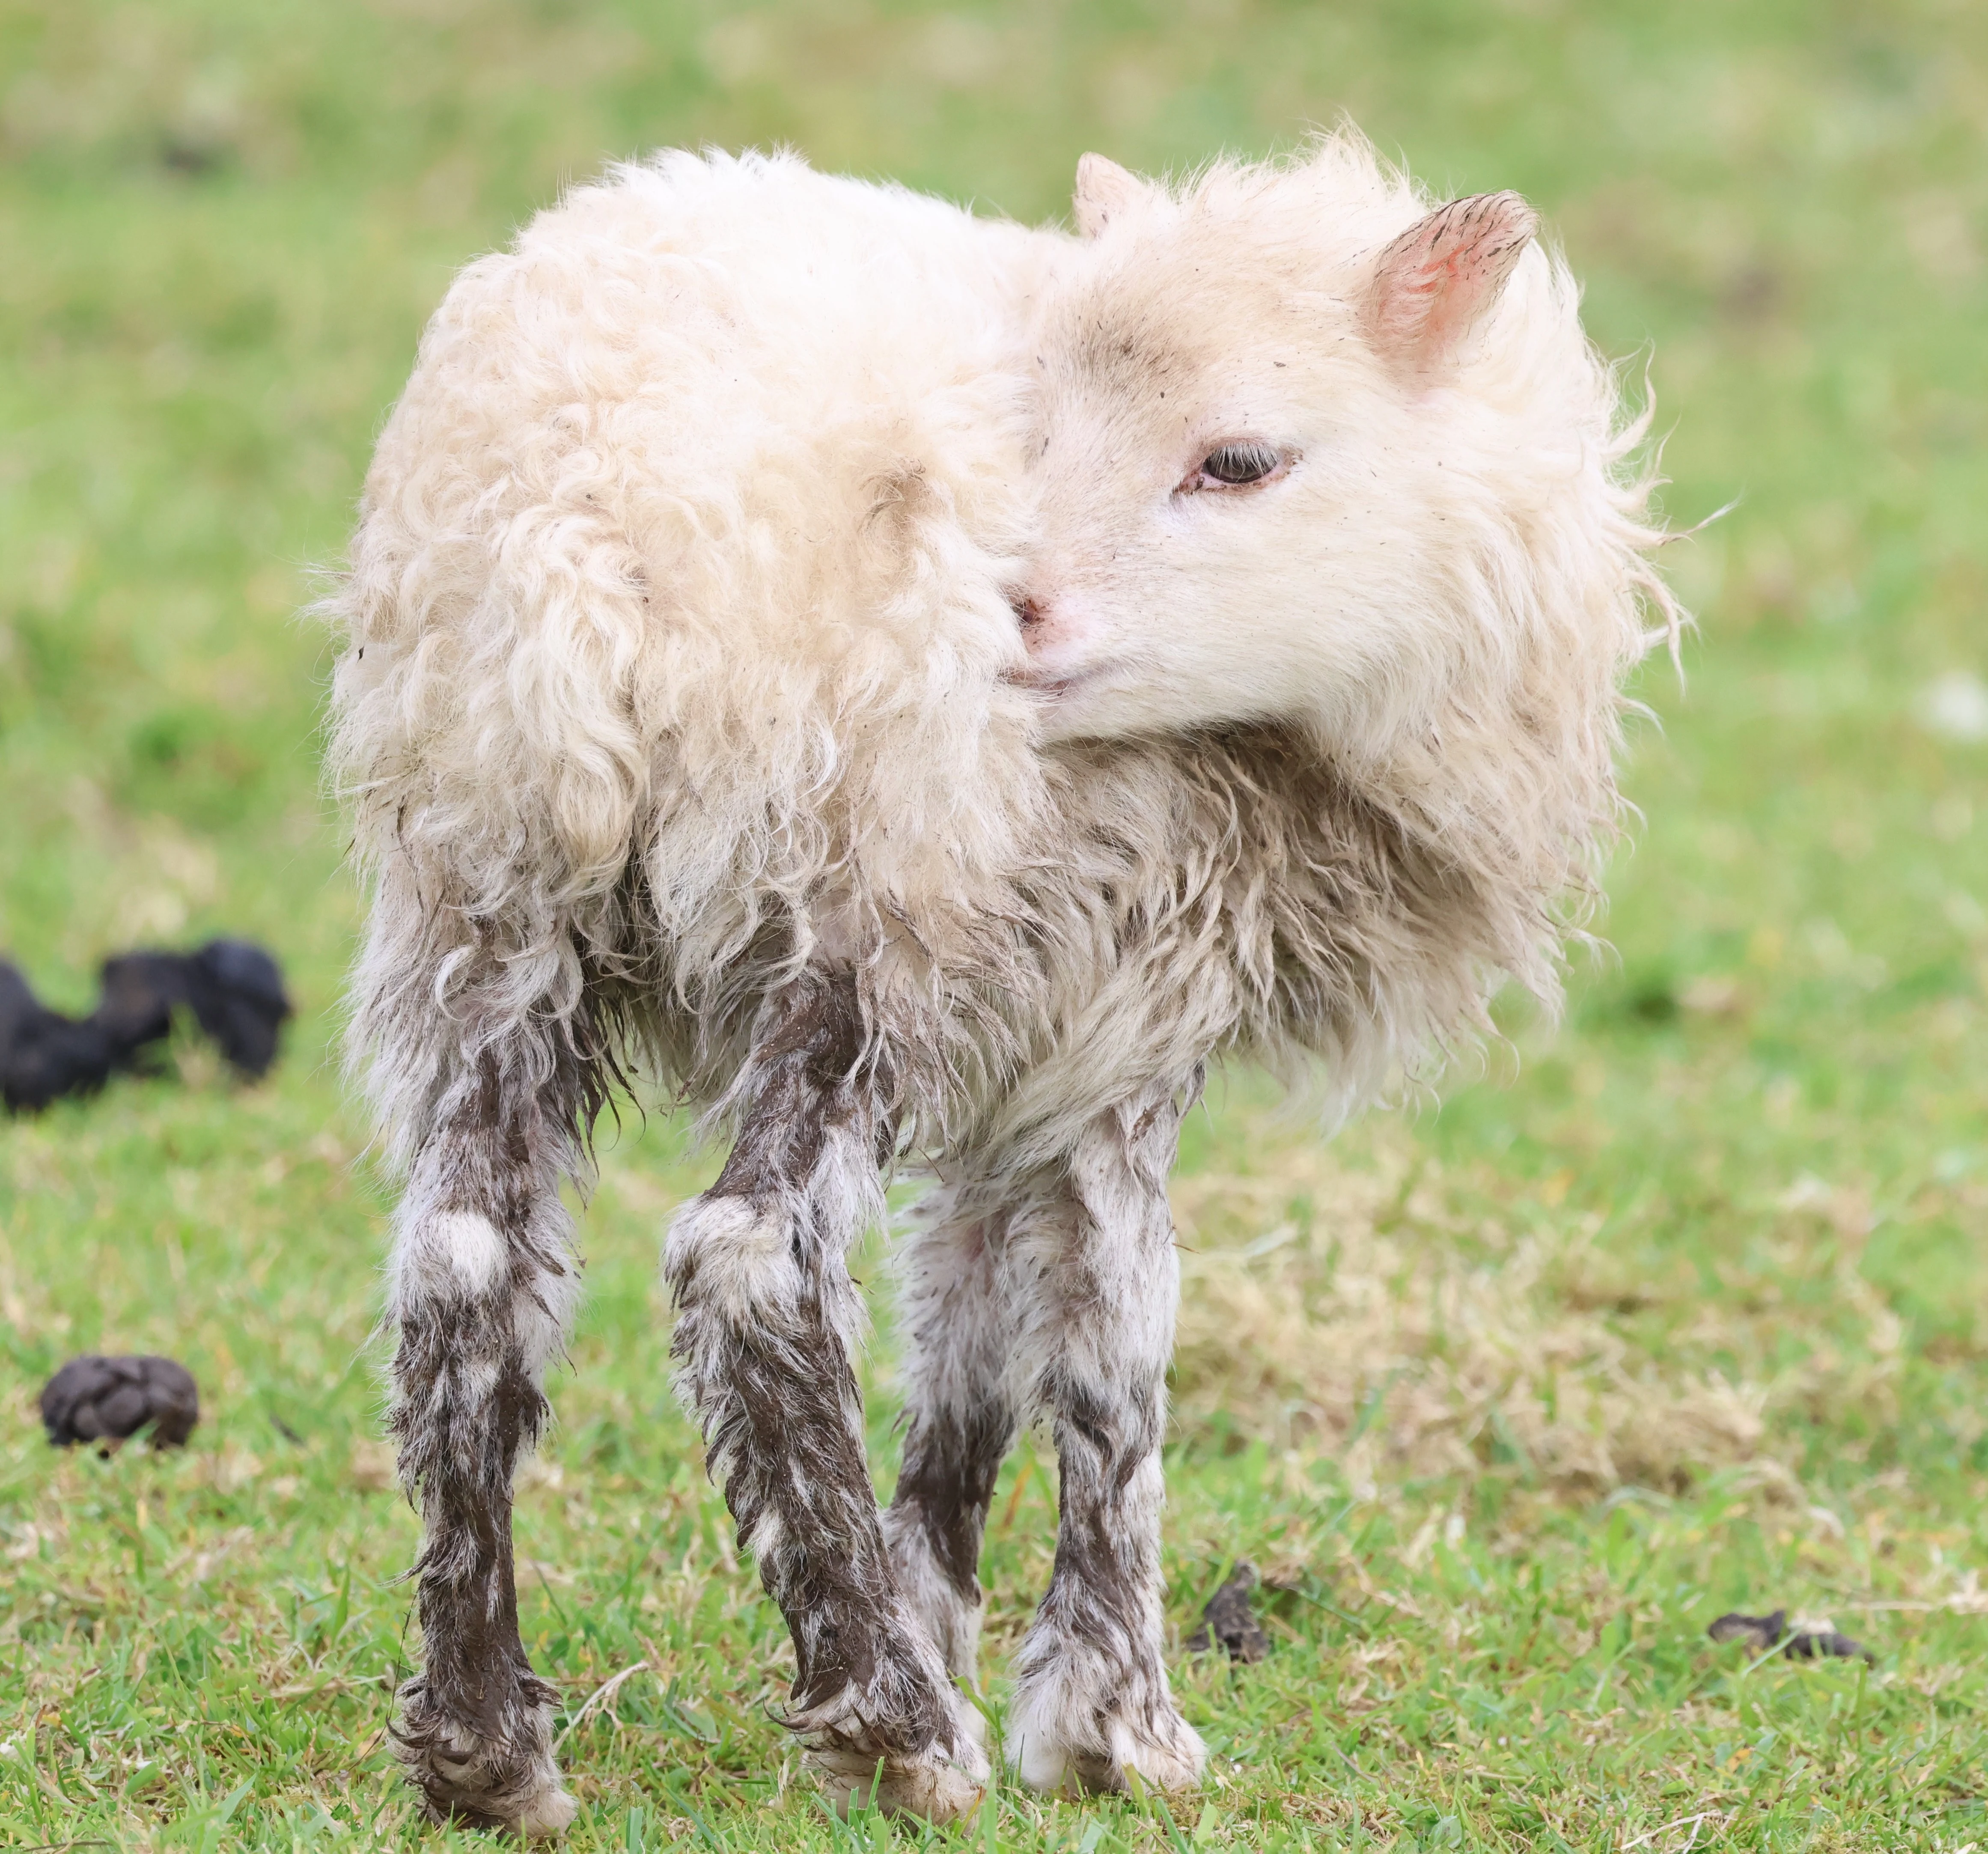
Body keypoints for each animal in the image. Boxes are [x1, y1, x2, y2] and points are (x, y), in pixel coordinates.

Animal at [328, 137, 1677, 1835]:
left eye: (1239, 461)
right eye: (1032, 432)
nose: (1017, 608)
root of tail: (576, 522)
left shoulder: (1023, 1025)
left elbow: (966, 1329)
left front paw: (941, 1605)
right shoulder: (1124, 1008)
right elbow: (1113, 1354)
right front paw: (1108, 1721)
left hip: (485, 898)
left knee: (461, 1269)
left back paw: (483, 1742)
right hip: (861, 895)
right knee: (751, 1260)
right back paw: (893, 1724)